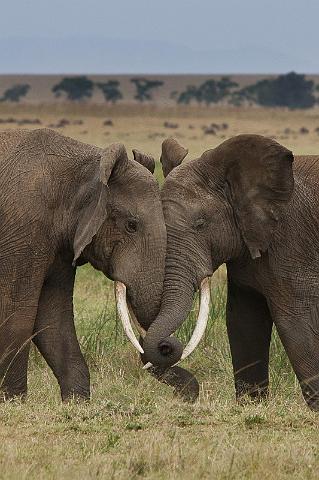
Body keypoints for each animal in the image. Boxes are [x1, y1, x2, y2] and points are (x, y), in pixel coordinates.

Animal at [0, 127, 166, 402]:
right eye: (131, 225)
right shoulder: (22, 230)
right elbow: (17, 314)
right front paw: (13, 401)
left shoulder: (60, 246)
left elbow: (54, 318)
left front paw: (77, 402)